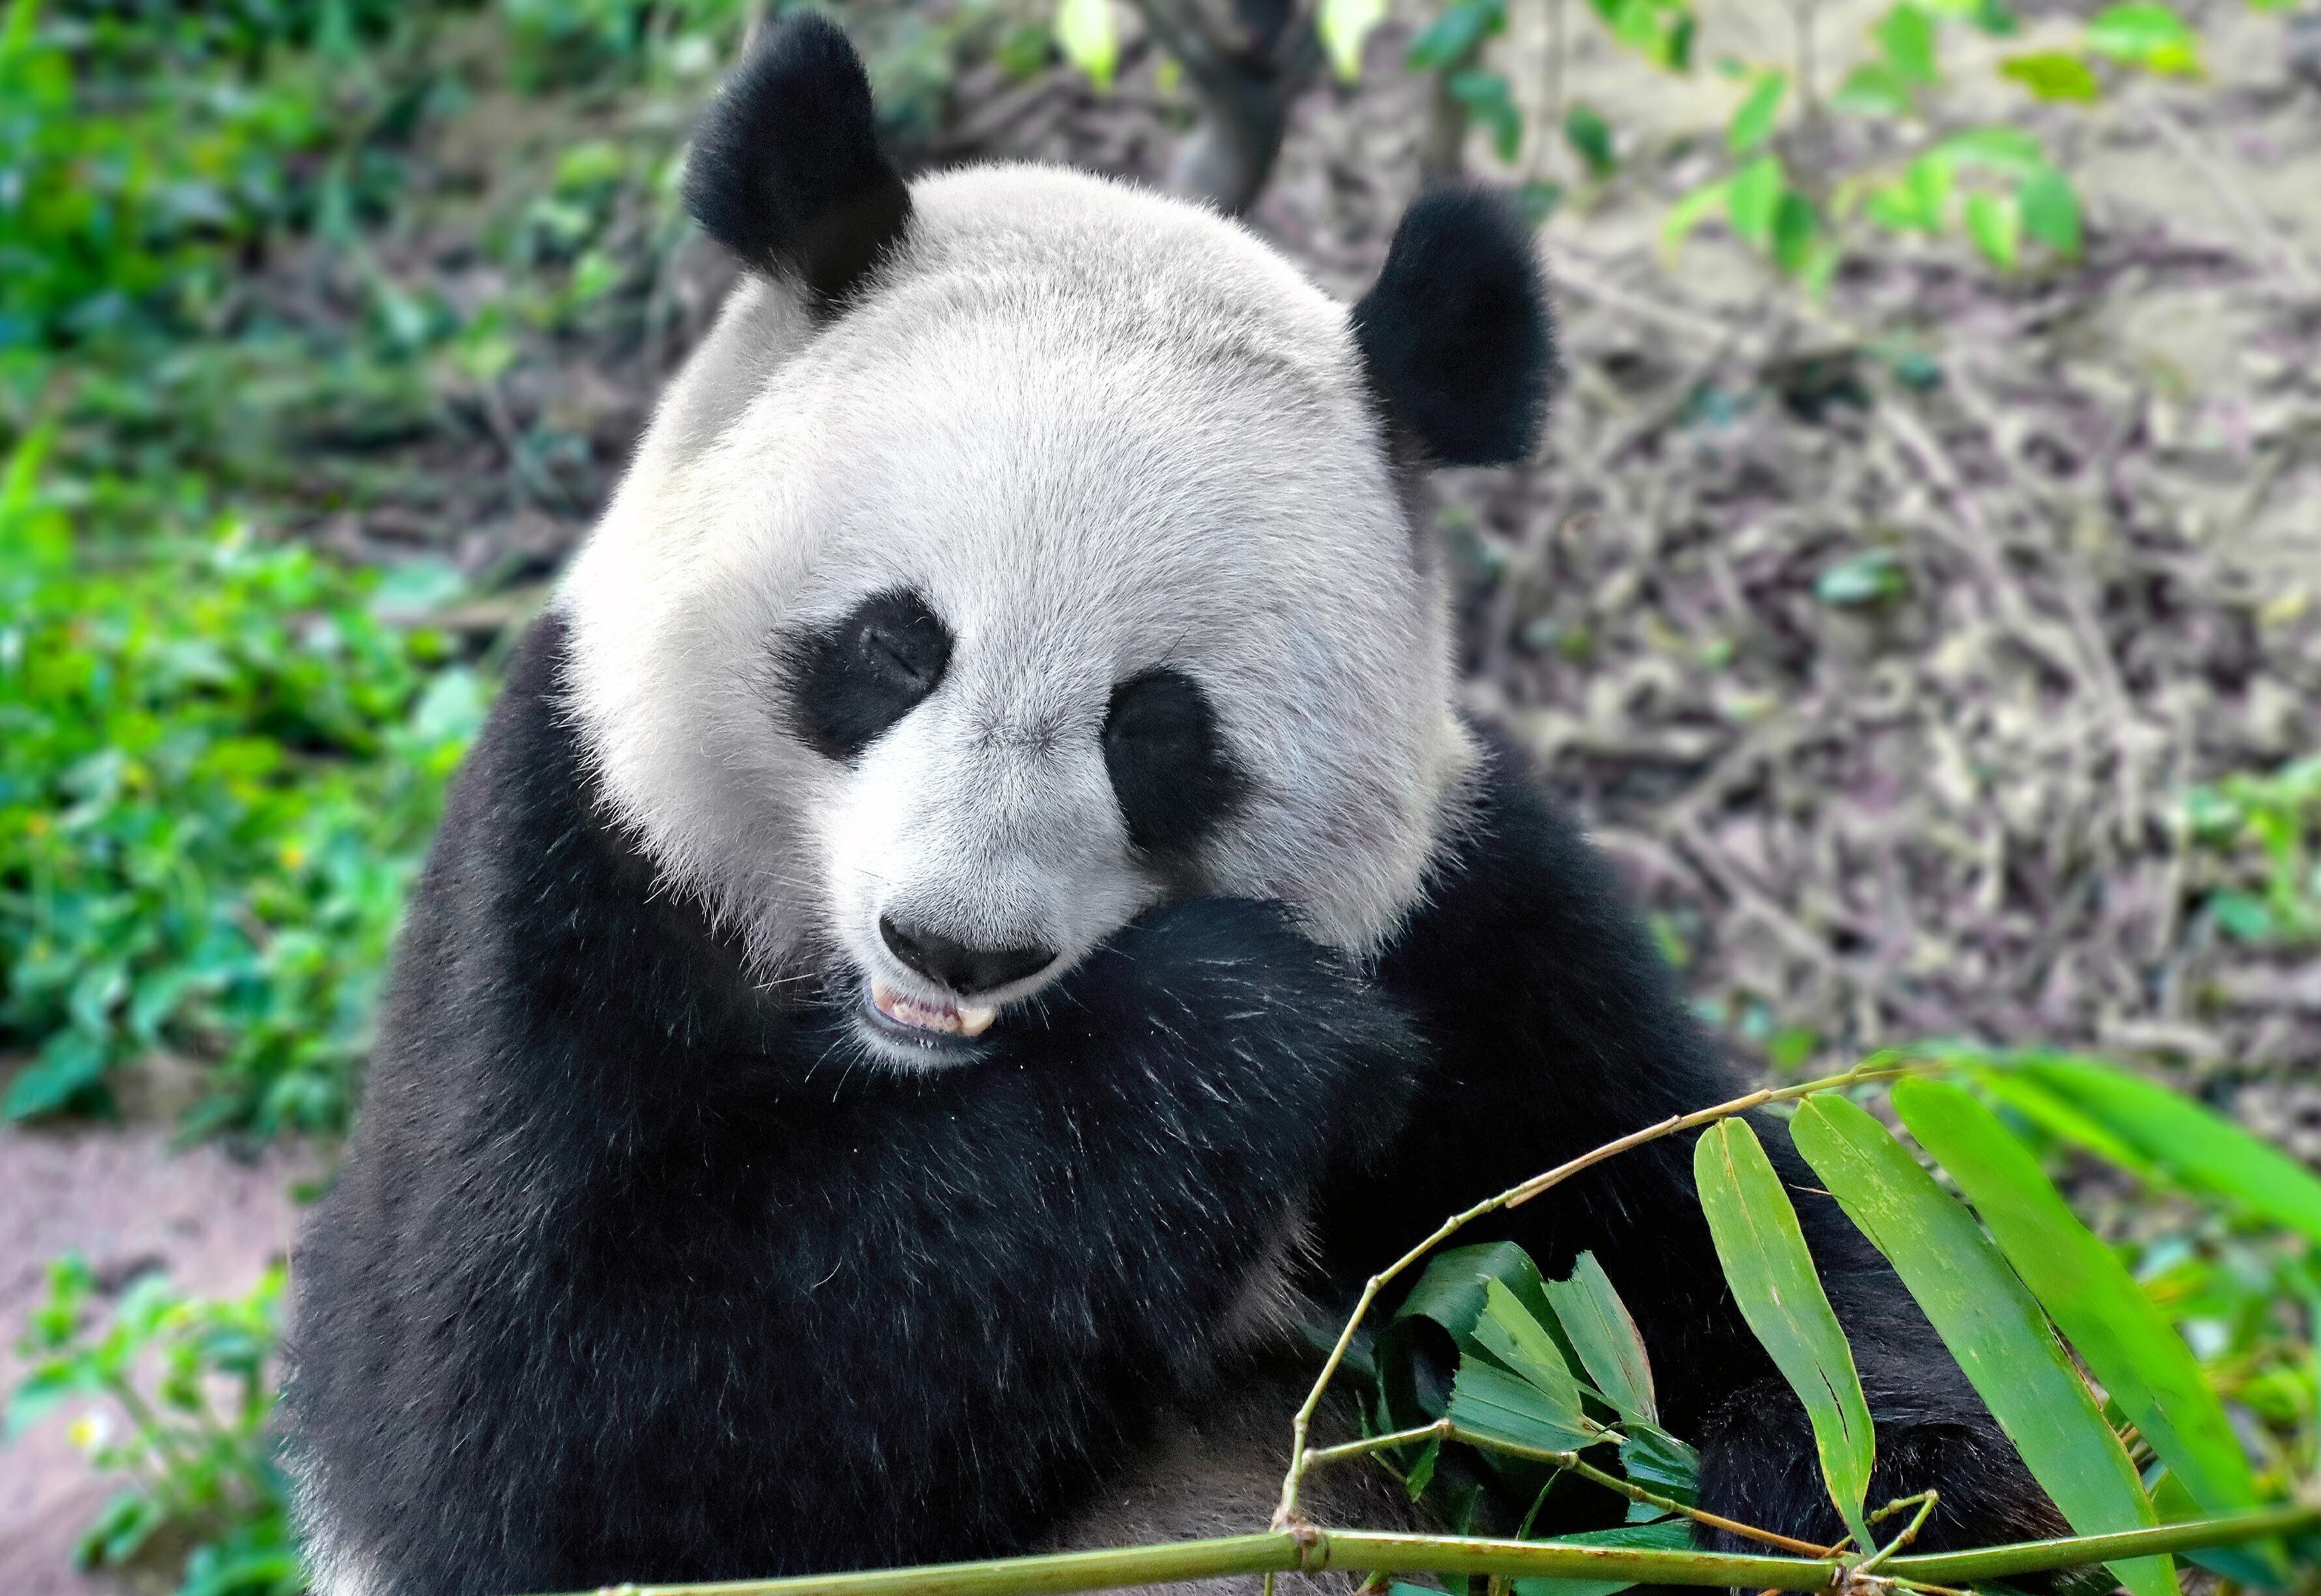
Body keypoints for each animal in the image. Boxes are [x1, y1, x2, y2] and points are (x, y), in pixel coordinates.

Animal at [282, 16, 2060, 1596]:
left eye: (1157, 730)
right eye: (892, 646)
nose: (957, 945)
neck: (937, 1079)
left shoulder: (1477, 928)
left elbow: (1757, 1251)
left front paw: (1862, 1505)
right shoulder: (573, 877)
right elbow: (562, 1417)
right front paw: (1247, 1027)